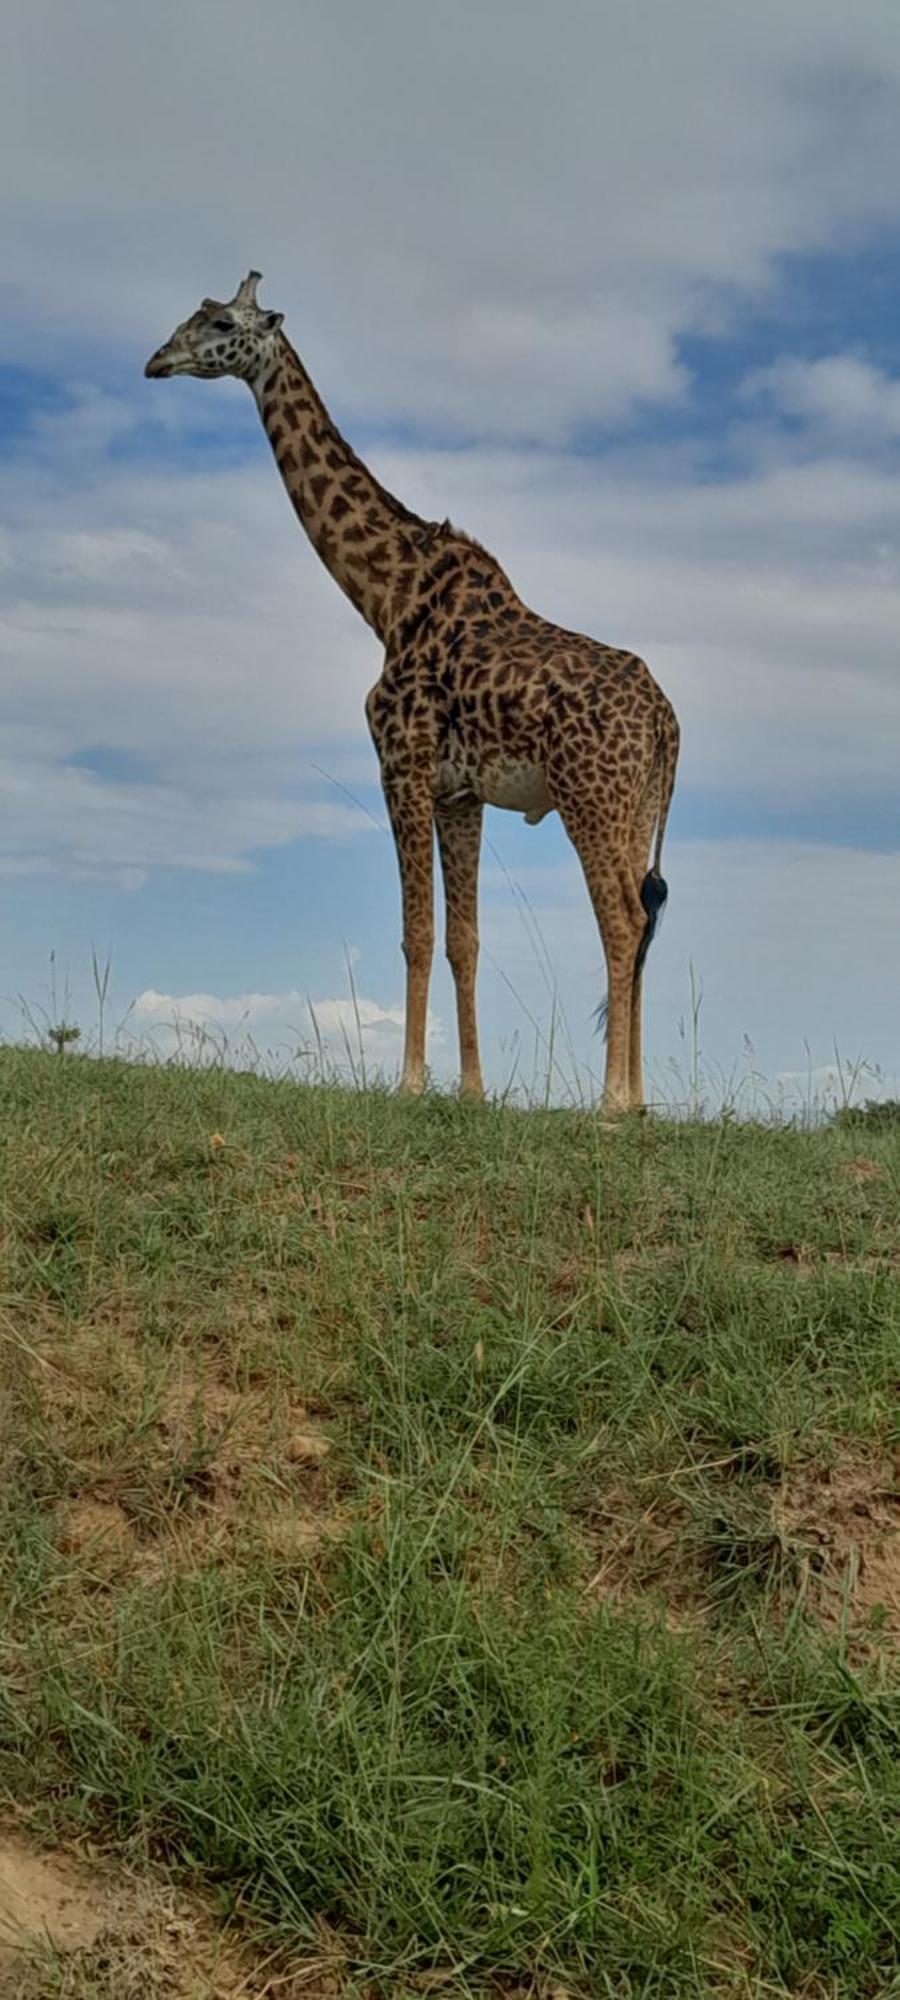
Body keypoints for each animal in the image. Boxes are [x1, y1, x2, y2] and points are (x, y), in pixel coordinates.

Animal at [146, 274, 676, 1120]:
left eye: (222, 324)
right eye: (191, 316)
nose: (157, 360)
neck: (386, 598)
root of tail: (667, 721)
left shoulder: (401, 761)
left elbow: (416, 931)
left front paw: (408, 1082)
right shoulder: (460, 792)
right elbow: (464, 938)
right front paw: (471, 1089)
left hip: (590, 795)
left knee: (622, 920)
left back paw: (612, 1103)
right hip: (637, 805)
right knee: (645, 914)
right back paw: (641, 1097)